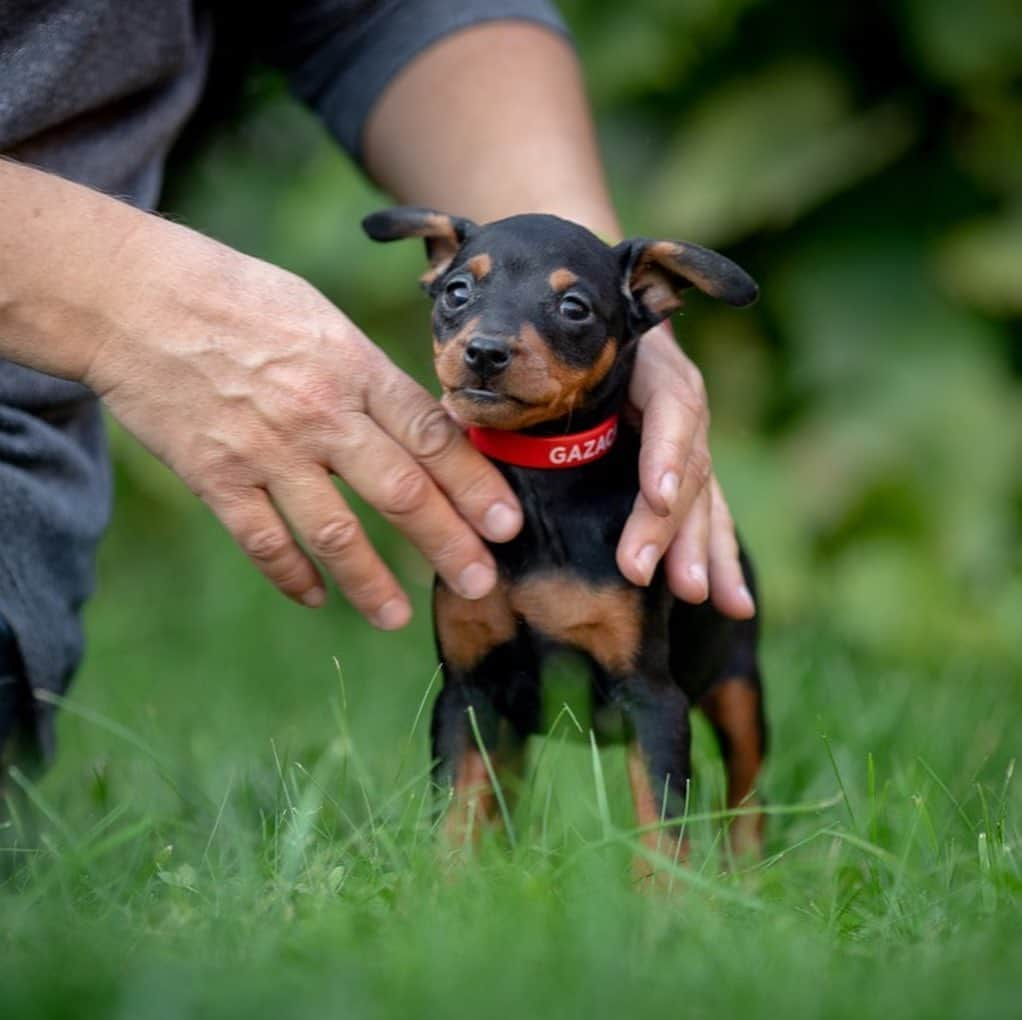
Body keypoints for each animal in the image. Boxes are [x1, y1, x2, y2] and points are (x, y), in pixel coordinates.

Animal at [363, 209, 764, 870]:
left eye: (574, 307)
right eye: (457, 292)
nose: (485, 351)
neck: (540, 480)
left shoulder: (654, 699)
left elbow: (663, 826)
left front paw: (666, 897)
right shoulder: (468, 693)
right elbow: (457, 811)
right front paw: (446, 885)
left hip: (739, 682)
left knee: (749, 792)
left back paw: (749, 875)